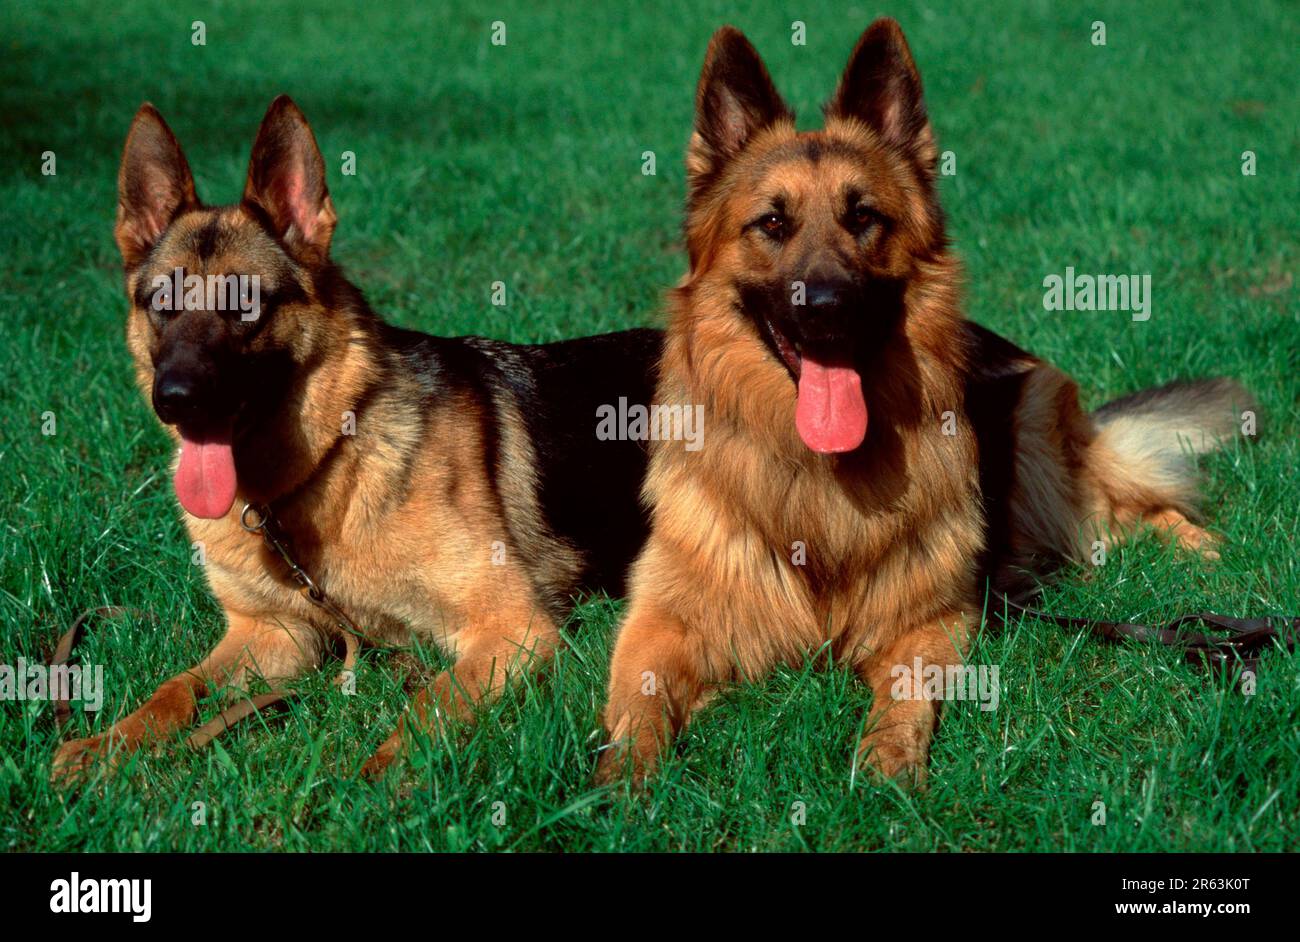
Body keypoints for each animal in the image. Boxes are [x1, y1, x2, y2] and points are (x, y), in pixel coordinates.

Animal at [50, 99, 660, 784]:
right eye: (161, 302)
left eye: (246, 306)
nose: (175, 399)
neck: (322, 469)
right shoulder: (272, 633)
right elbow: (174, 689)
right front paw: (108, 744)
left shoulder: (511, 627)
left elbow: (431, 699)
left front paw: (388, 776)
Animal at [595, 23, 1253, 784]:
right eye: (772, 223)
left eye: (863, 217)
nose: (826, 307)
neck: (818, 483)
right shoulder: (659, 620)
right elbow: (638, 700)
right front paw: (622, 781)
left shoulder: (932, 619)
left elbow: (905, 690)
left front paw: (884, 767)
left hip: (1044, 466)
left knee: (1137, 509)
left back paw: (1208, 553)